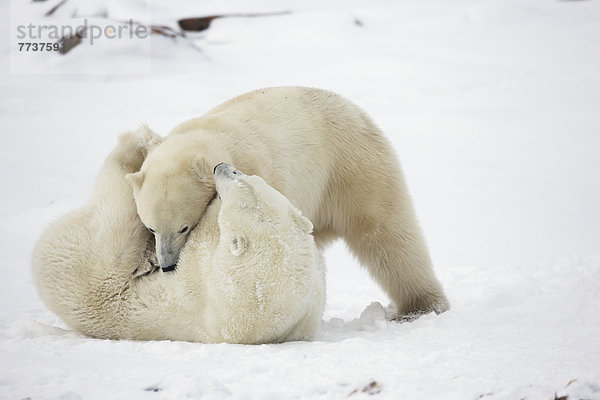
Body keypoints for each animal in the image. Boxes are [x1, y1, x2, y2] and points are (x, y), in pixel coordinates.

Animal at [30, 130, 326, 342]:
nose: (221, 167)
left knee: (115, 216)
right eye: (247, 178)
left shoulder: (207, 277)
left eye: (236, 188)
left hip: (87, 263)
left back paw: (135, 142)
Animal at [125, 86, 446, 316]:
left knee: (387, 233)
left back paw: (422, 306)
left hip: (351, 168)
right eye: (151, 228)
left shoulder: (262, 174)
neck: (209, 138)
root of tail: (355, 110)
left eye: (185, 227)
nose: (167, 265)